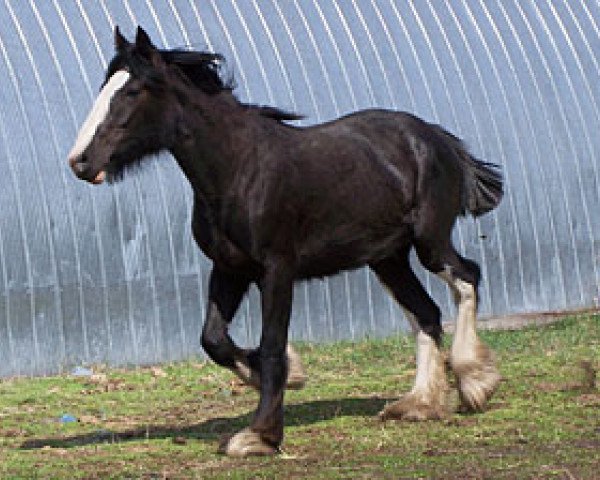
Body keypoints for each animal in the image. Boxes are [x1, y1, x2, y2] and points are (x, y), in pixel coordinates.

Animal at [68, 27, 504, 458]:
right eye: (106, 85)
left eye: (132, 91)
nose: (80, 161)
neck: (240, 169)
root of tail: (436, 137)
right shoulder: (229, 268)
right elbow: (214, 340)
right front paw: (282, 378)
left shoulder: (276, 269)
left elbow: (272, 344)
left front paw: (260, 435)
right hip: (387, 257)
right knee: (426, 312)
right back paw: (419, 404)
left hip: (429, 242)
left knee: (467, 278)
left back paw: (474, 382)